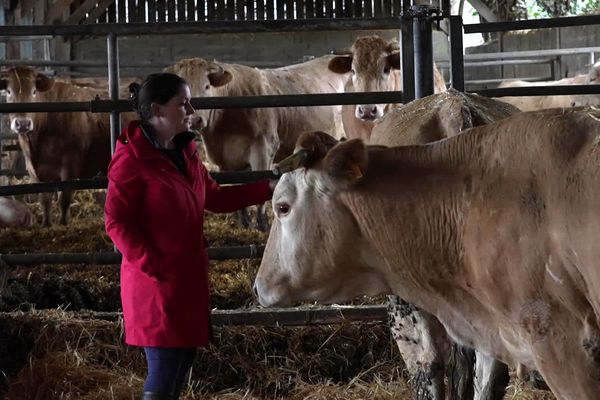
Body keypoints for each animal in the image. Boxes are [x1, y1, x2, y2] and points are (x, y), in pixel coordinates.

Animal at [0, 67, 131, 227]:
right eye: (9, 91)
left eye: (34, 91)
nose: (23, 123)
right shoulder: (34, 170)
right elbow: (45, 199)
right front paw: (46, 224)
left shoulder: (70, 165)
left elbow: (64, 198)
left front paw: (63, 223)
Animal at [166, 56, 350, 231]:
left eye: (206, 87)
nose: (195, 120)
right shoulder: (224, 159)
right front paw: (243, 223)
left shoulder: (263, 148)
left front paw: (262, 226)